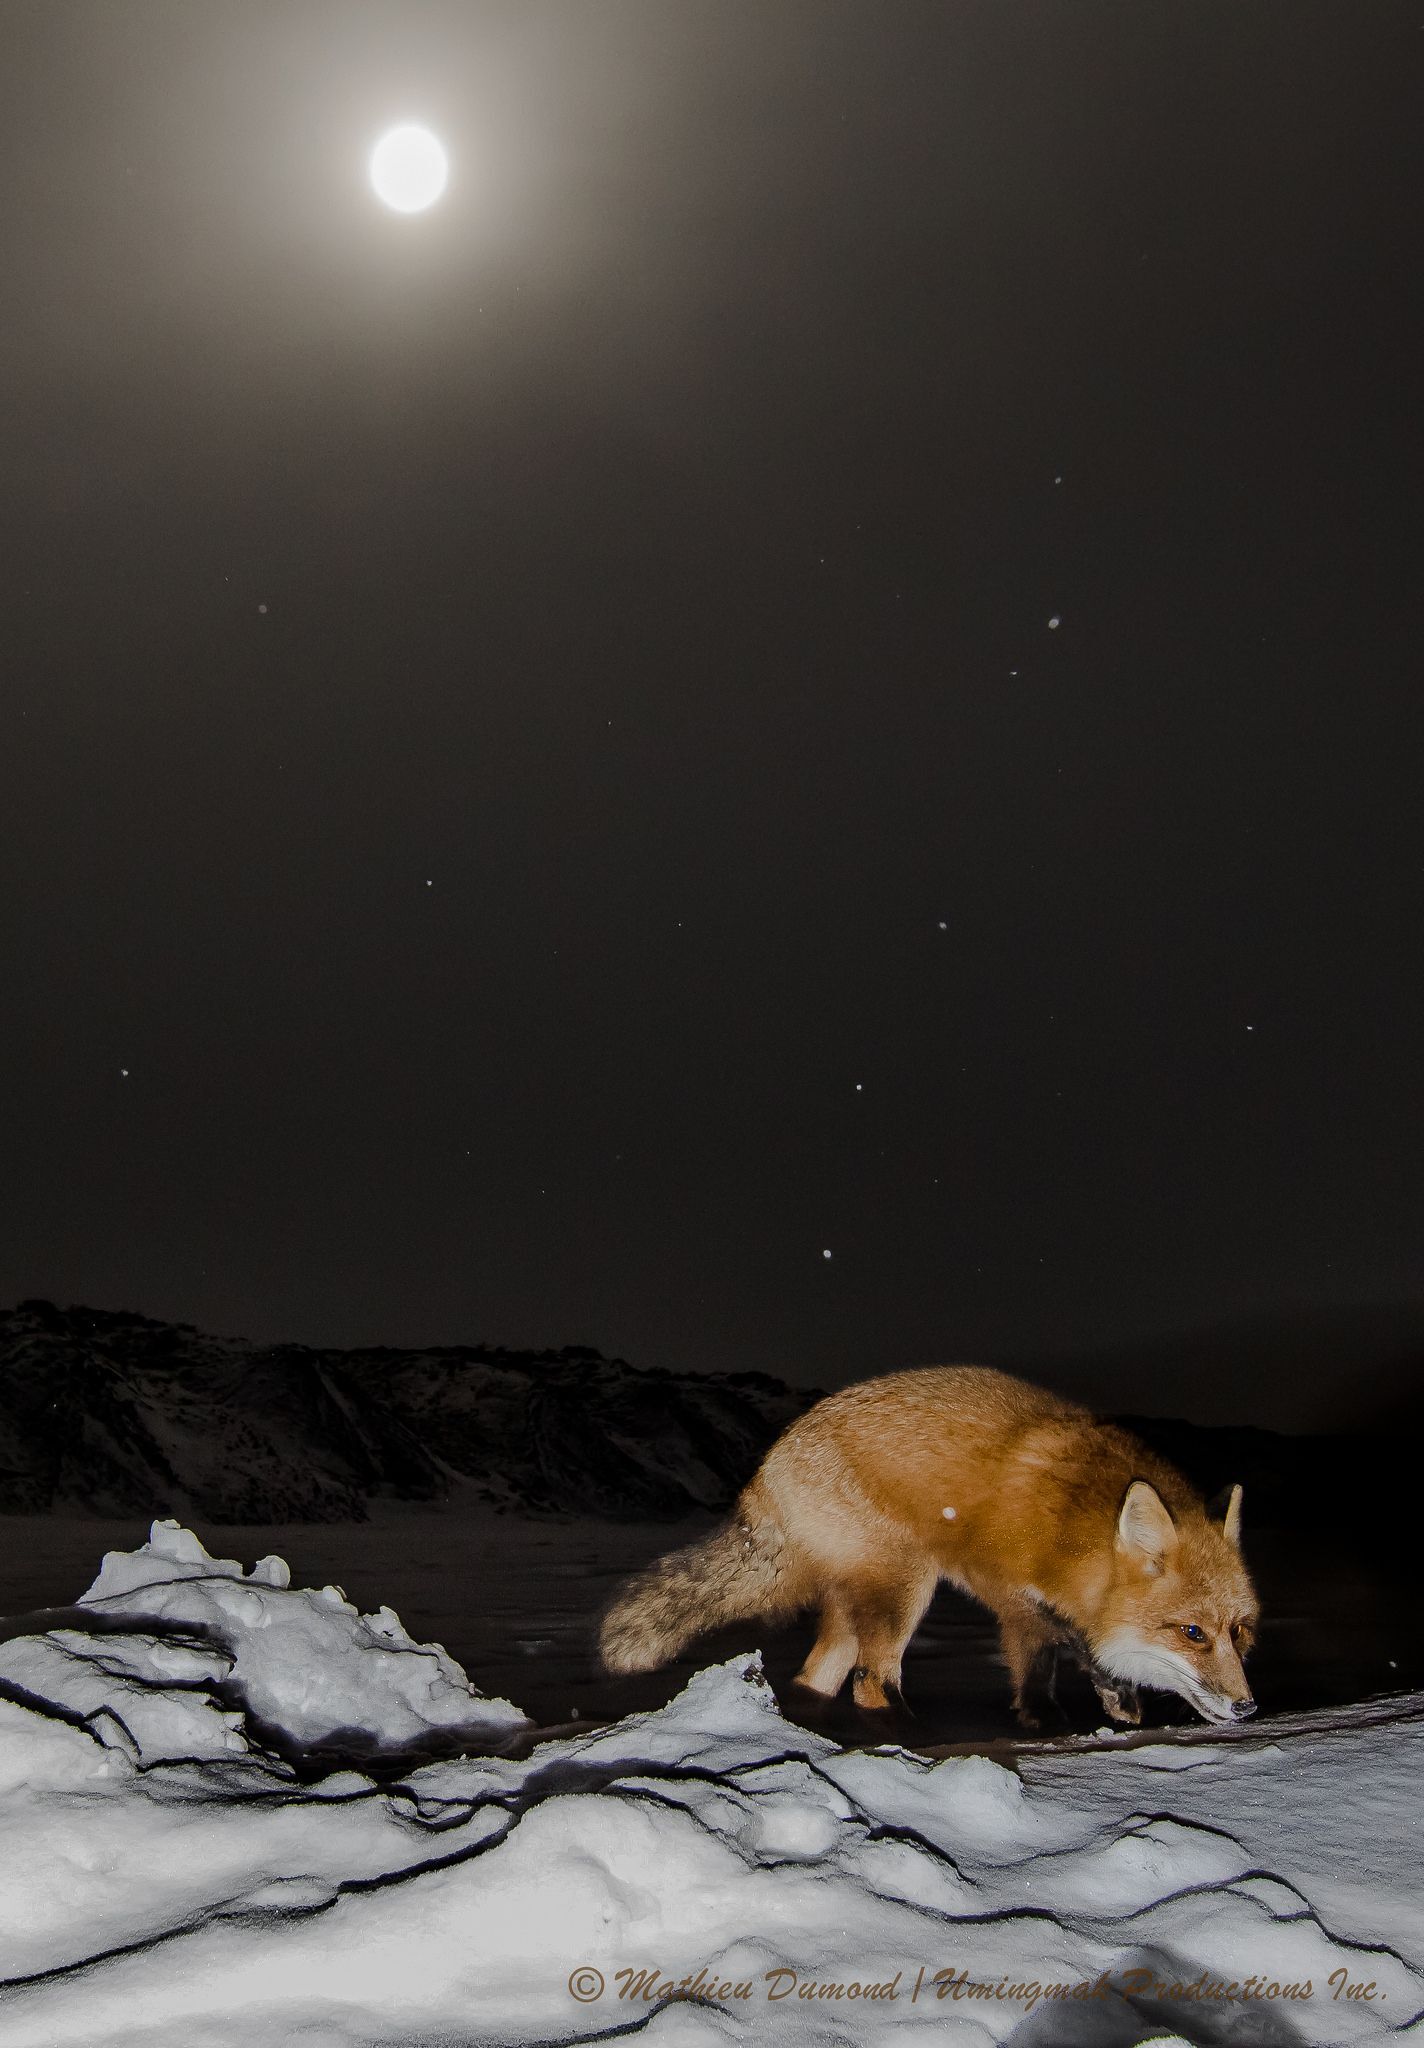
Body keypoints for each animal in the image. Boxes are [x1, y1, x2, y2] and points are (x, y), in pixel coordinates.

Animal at [600, 1365, 1258, 1730]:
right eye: (1192, 1634)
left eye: (1239, 1631)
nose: (1248, 1709)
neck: (1073, 1533)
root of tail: (767, 1465)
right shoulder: (1005, 1586)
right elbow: (1043, 1658)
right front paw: (1055, 1715)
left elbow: (1064, 1653)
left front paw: (1113, 1695)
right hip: (906, 1584)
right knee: (871, 1682)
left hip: (860, 1604)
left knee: (818, 1678)